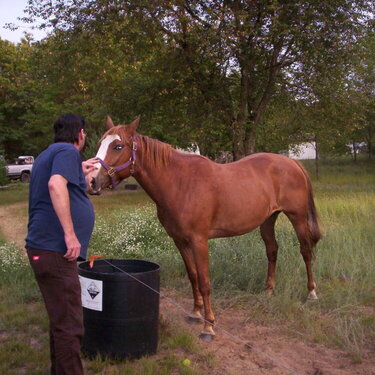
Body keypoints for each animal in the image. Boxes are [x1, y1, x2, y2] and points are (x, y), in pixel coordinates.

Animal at [87, 118, 320, 344]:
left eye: (118, 146)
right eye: (100, 143)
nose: (92, 181)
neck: (181, 183)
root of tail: (292, 163)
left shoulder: (199, 240)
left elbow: (205, 281)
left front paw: (209, 327)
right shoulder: (180, 241)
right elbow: (193, 276)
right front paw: (195, 313)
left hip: (297, 217)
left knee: (306, 251)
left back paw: (311, 293)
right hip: (268, 219)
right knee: (272, 250)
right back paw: (268, 291)